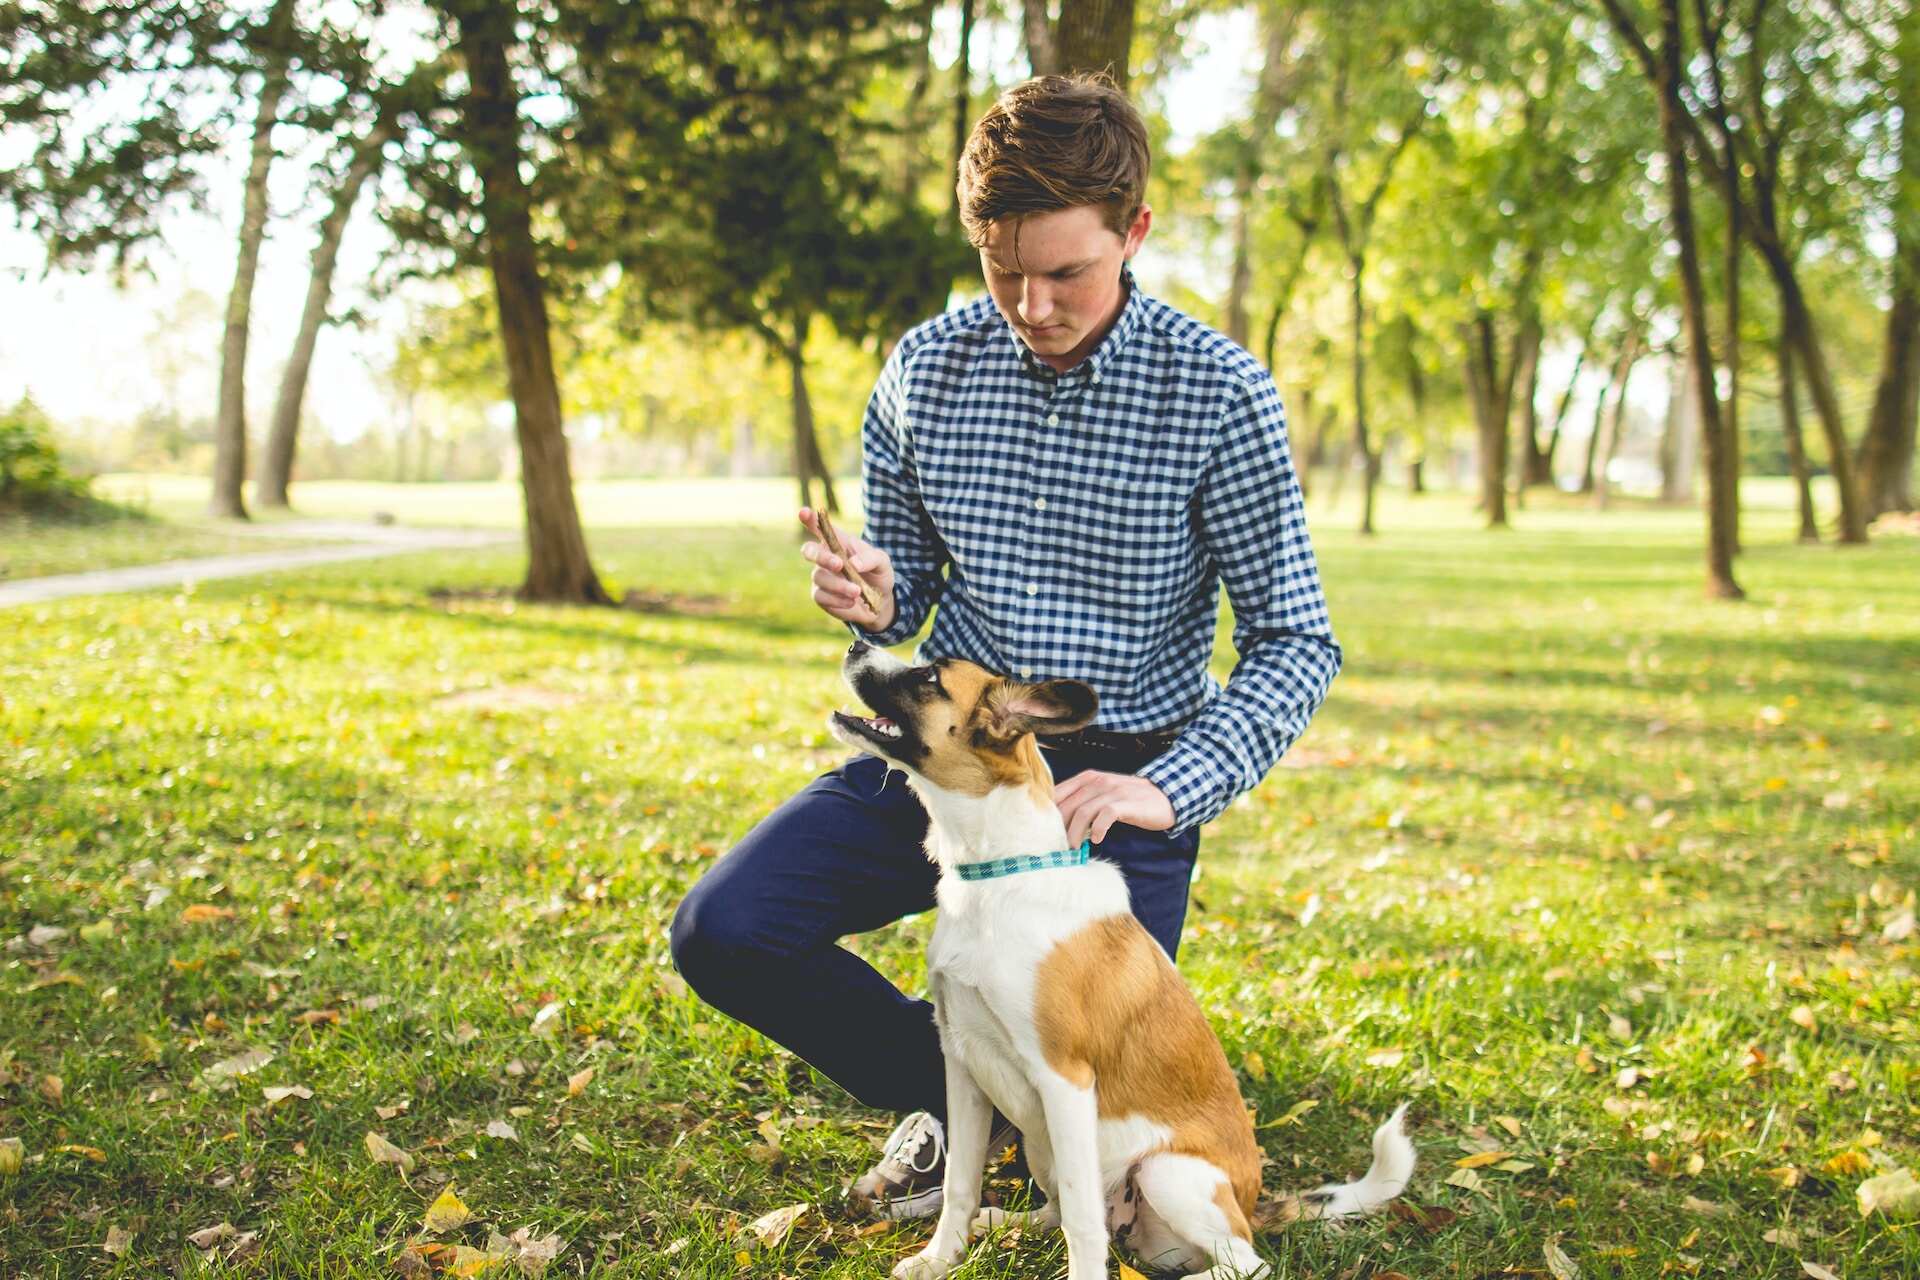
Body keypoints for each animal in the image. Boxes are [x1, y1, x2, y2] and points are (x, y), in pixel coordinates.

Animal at [825, 640, 1413, 1280]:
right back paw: (1003, 1221)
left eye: (930, 676)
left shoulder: (1064, 1080)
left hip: (1167, 1172)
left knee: (1241, 1262)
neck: (999, 877)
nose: (855, 643)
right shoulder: (962, 1064)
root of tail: (1252, 1206)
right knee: (1063, 1210)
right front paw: (940, 1257)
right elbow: (961, 1182)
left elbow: (1084, 1223)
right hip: (1044, 1146)